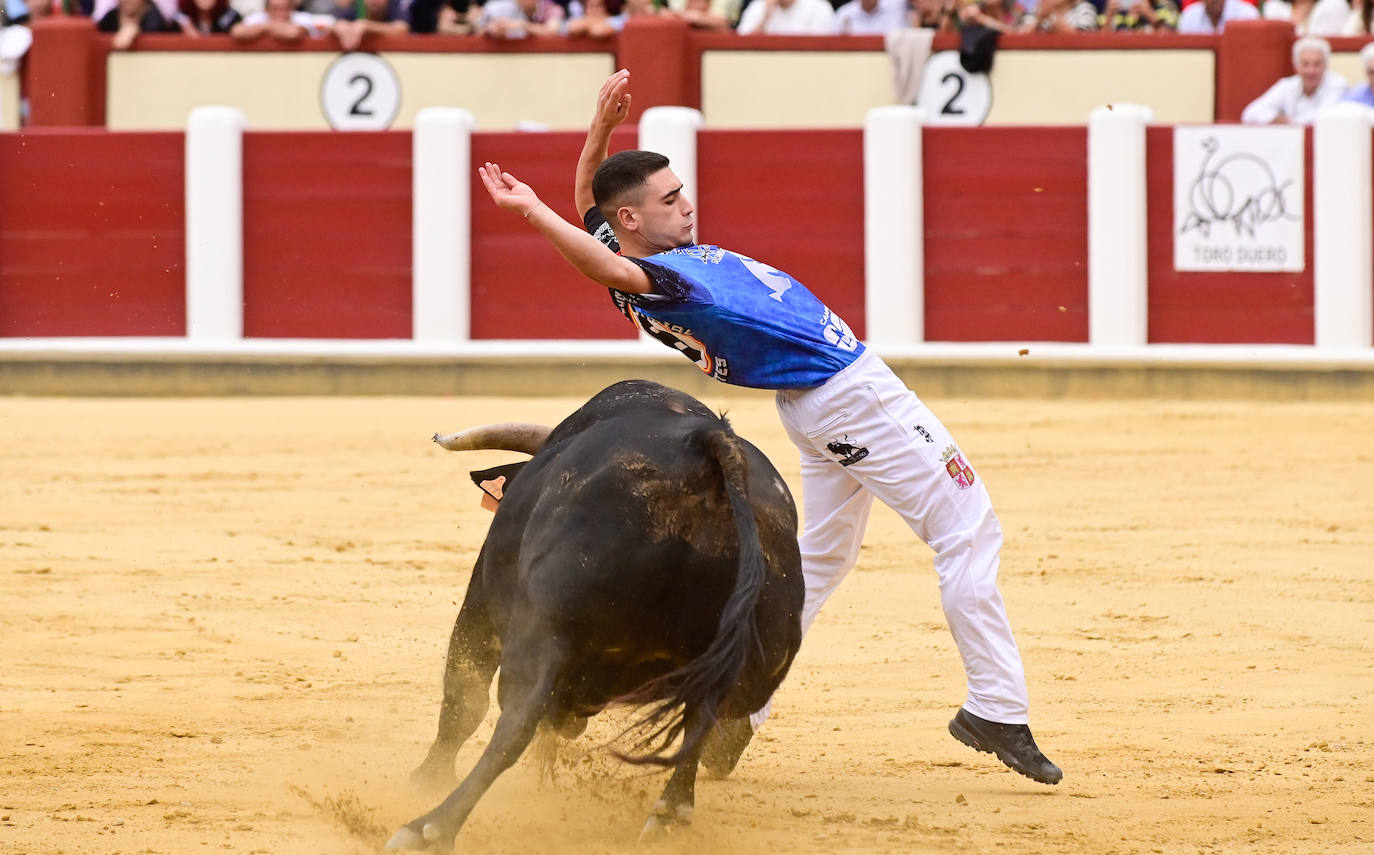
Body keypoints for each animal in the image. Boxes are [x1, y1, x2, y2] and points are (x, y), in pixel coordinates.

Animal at [387, 384, 802, 852]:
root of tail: (705, 454)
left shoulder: (482, 603)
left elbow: (464, 696)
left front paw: (427, 779)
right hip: (747, 660)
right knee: (704, 718)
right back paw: (667, 817)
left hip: (541, 632)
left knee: (515, 721)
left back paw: (429, 827)